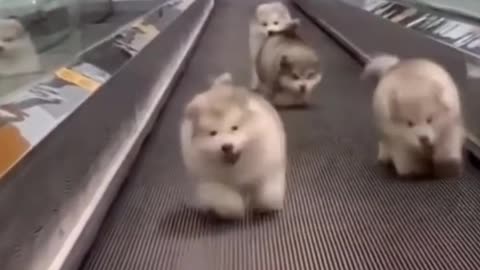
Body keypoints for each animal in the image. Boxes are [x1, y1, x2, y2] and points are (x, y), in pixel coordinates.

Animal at [179, 72, 284, 219]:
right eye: (213, 133)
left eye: (235, 128)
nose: (227, 146)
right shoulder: (209, 181)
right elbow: (226, 200)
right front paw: (236, 209)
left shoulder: (269, 169)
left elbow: (268, 194)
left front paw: (263, 207)